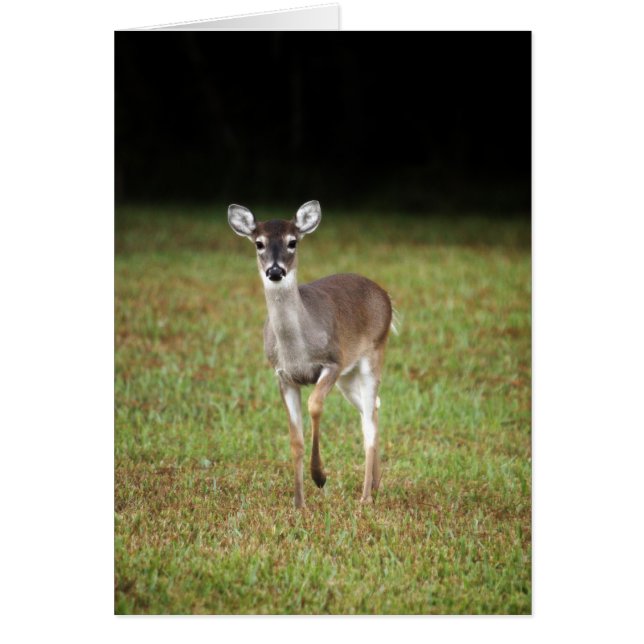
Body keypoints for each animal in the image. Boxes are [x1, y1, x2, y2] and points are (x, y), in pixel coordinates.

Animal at [227, 200, 393, 508]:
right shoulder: (283, 376)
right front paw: (299, 503)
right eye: (259, 243)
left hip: (373, 352)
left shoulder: (332, 362)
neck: (298, 350)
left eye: (292, 242)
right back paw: (376, 485)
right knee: (373, 407)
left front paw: (320, 476)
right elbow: (296, 440)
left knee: (367, 424)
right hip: (348, 376)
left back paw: (365, 498)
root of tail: (385, 294)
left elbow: (315, 405)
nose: (275, 271)